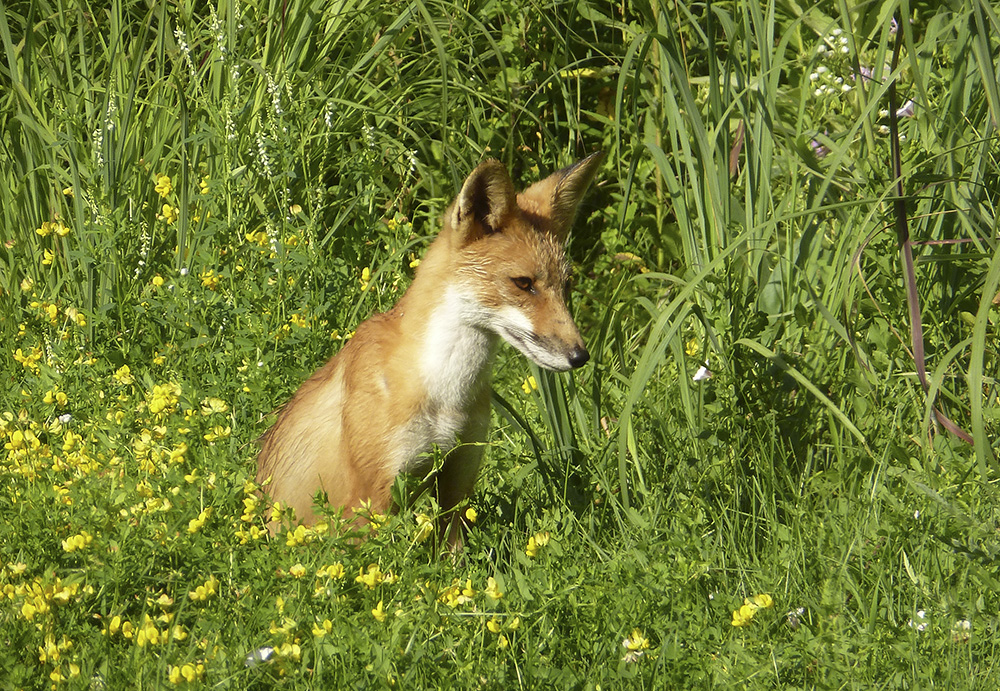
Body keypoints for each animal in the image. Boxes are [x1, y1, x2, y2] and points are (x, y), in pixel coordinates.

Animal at [258, 151, 600, 548]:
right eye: (523, 283)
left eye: (566, 285)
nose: (579, 356)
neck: (444, 394)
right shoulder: (372, 496)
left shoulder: (458, 476)